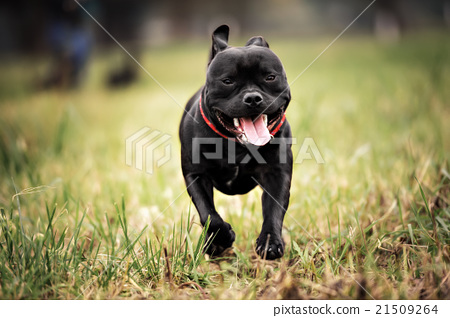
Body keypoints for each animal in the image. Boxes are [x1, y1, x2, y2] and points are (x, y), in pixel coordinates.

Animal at [179, 24, 292, 258]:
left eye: (270, 77)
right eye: (227, 81)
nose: (253, 98)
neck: (236, 144)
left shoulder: (277, 174)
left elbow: (274, 210)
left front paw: (270, 243)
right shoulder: (196, 175)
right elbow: (209, 215)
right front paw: (221, 240)